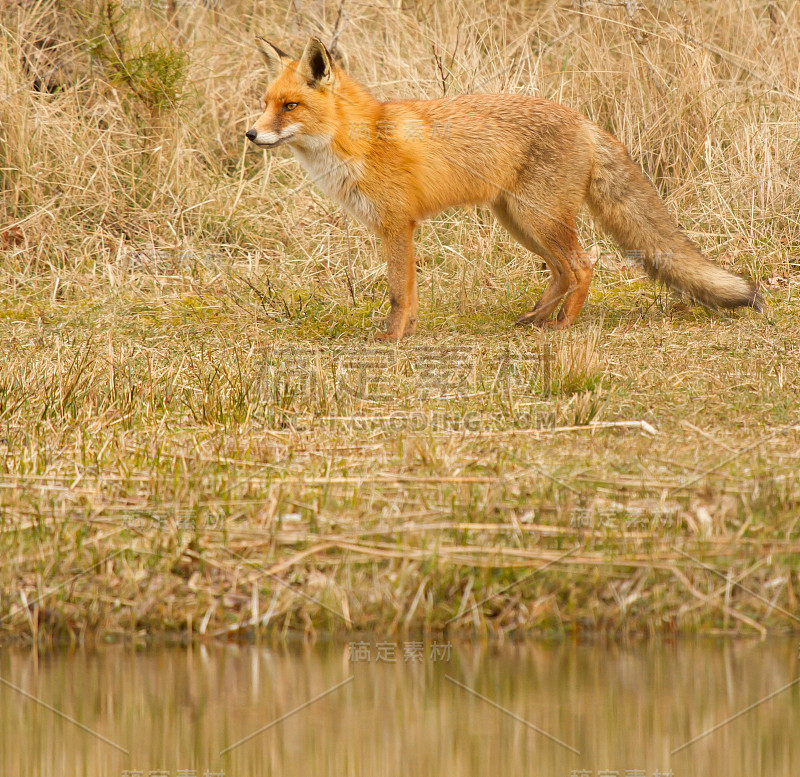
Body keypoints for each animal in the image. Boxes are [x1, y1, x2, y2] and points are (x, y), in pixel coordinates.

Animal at [245, 36, 764, 340]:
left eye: (290, 106)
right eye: (267, 104)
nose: (251, 134)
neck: (366, 139)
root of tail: (584, 121)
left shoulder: (397, 226)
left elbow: (398, 292)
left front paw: (392, 338)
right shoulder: (399, 228)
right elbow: (408, 291)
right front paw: (405, 333)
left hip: (539, 218)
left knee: (583, 265)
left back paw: (563, 326)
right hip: (517, 221)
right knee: (562, 271)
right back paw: (535, 319)